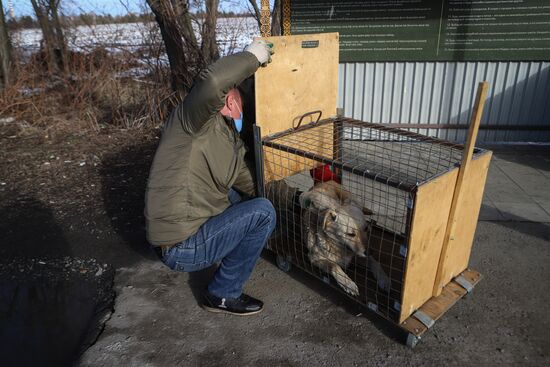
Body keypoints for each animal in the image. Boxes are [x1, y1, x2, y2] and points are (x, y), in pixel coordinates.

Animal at [264, 118, 466, 322]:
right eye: (350, 234)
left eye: (366, 229)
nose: (369, 250)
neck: (340, 247)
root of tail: (323, 185)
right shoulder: (316, 259)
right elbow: (335, 266)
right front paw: (349, 284)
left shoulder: (358, 256)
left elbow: (375, 262)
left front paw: (384, 279)